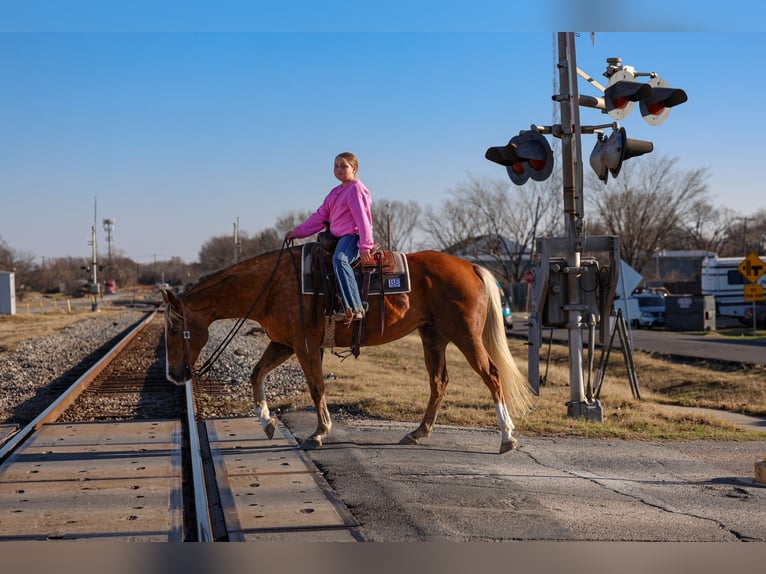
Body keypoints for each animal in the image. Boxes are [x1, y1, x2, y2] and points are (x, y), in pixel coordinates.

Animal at [162, 245, 533, 454]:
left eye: (173, 329)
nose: (174, 375)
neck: (271, 286)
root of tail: (470, 266)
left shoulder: (305, 346)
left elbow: (316, 387)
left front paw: (319, 432)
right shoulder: (283, 343)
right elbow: (256, 374)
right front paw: (266, 422)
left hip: (465, 335)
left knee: (492, 375)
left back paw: (506, 437)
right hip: (433, 336)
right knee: (439, 382)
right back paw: (418, 432)